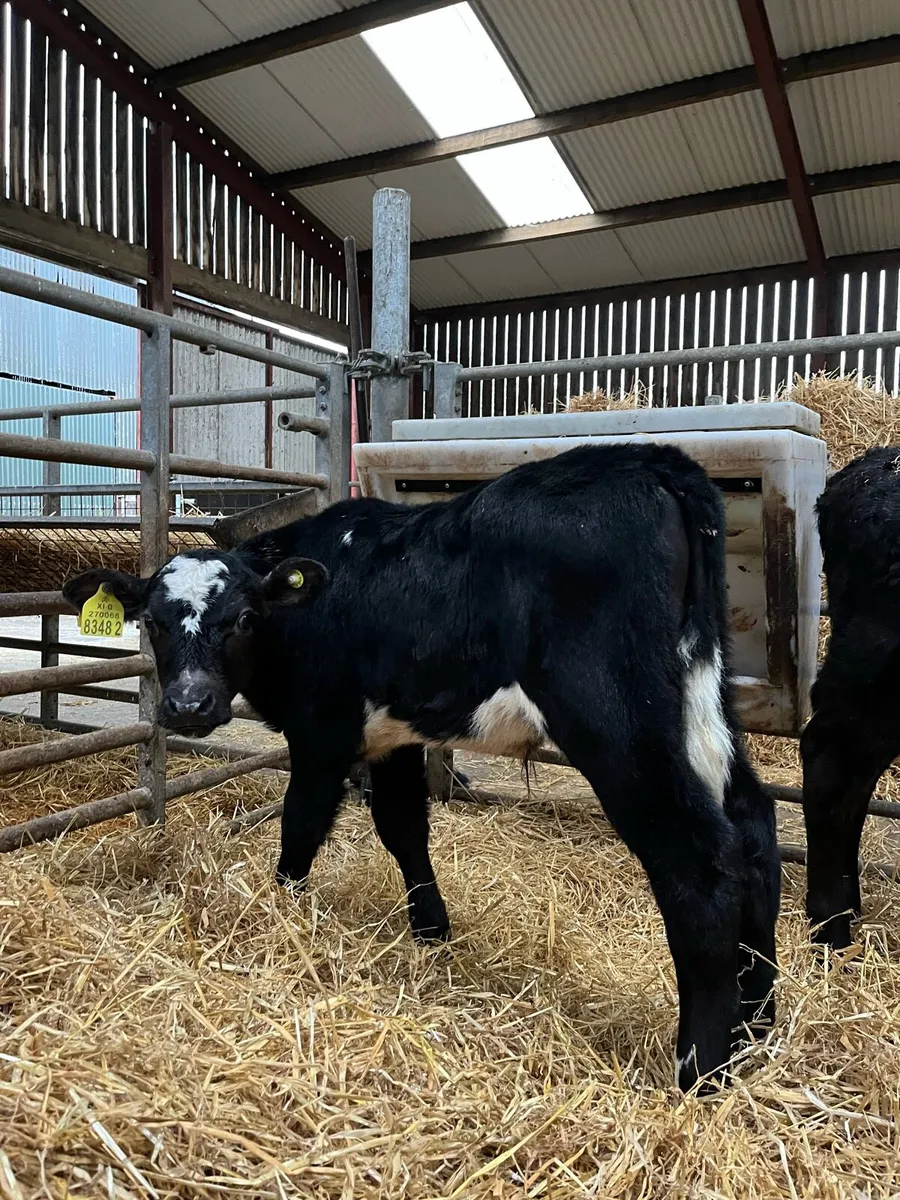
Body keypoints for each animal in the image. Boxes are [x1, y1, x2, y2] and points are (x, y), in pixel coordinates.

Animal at [63, 442, 779, 1091]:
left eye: (241, 617)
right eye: (153, 622)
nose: (188, 705)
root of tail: (649, 459)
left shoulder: (322, 732)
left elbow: (301, 828)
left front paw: (282, 914)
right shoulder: (395, 737)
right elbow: (403, 826)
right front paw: (432, 934)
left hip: (615, 719)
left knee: (697, 859)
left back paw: (700, 1070)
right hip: (700, 699)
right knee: (752, 825)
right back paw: (756, 1027)